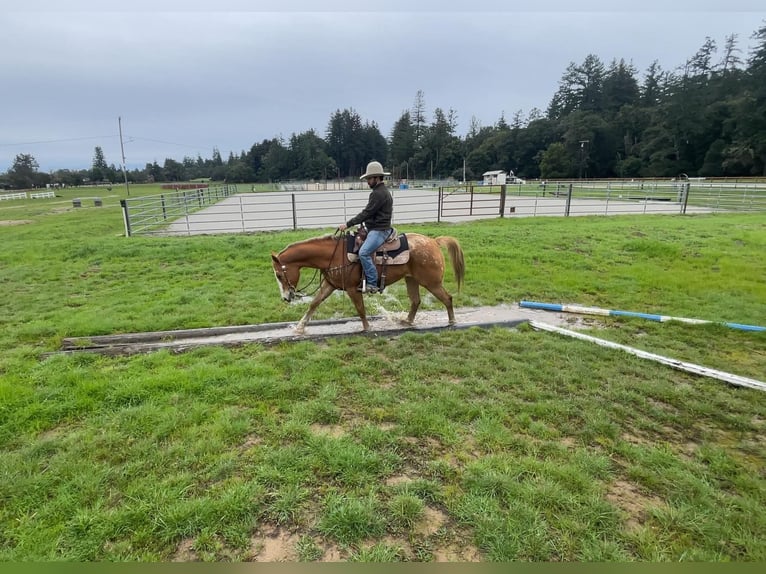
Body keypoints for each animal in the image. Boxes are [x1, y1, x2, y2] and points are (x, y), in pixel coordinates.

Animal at [272, 232, 464, 336]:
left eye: (279, 275)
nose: (285, 298)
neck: (334, 255)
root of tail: (434, 241)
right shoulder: (330, 285)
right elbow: (314, 304)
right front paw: (299, 328)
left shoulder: (352, 289)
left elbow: (360, 309)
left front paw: (366, 328)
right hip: (412, 280)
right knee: (416, 301)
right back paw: (407, 322)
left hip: (431, 282)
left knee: (447, 298)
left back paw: (452, 322)